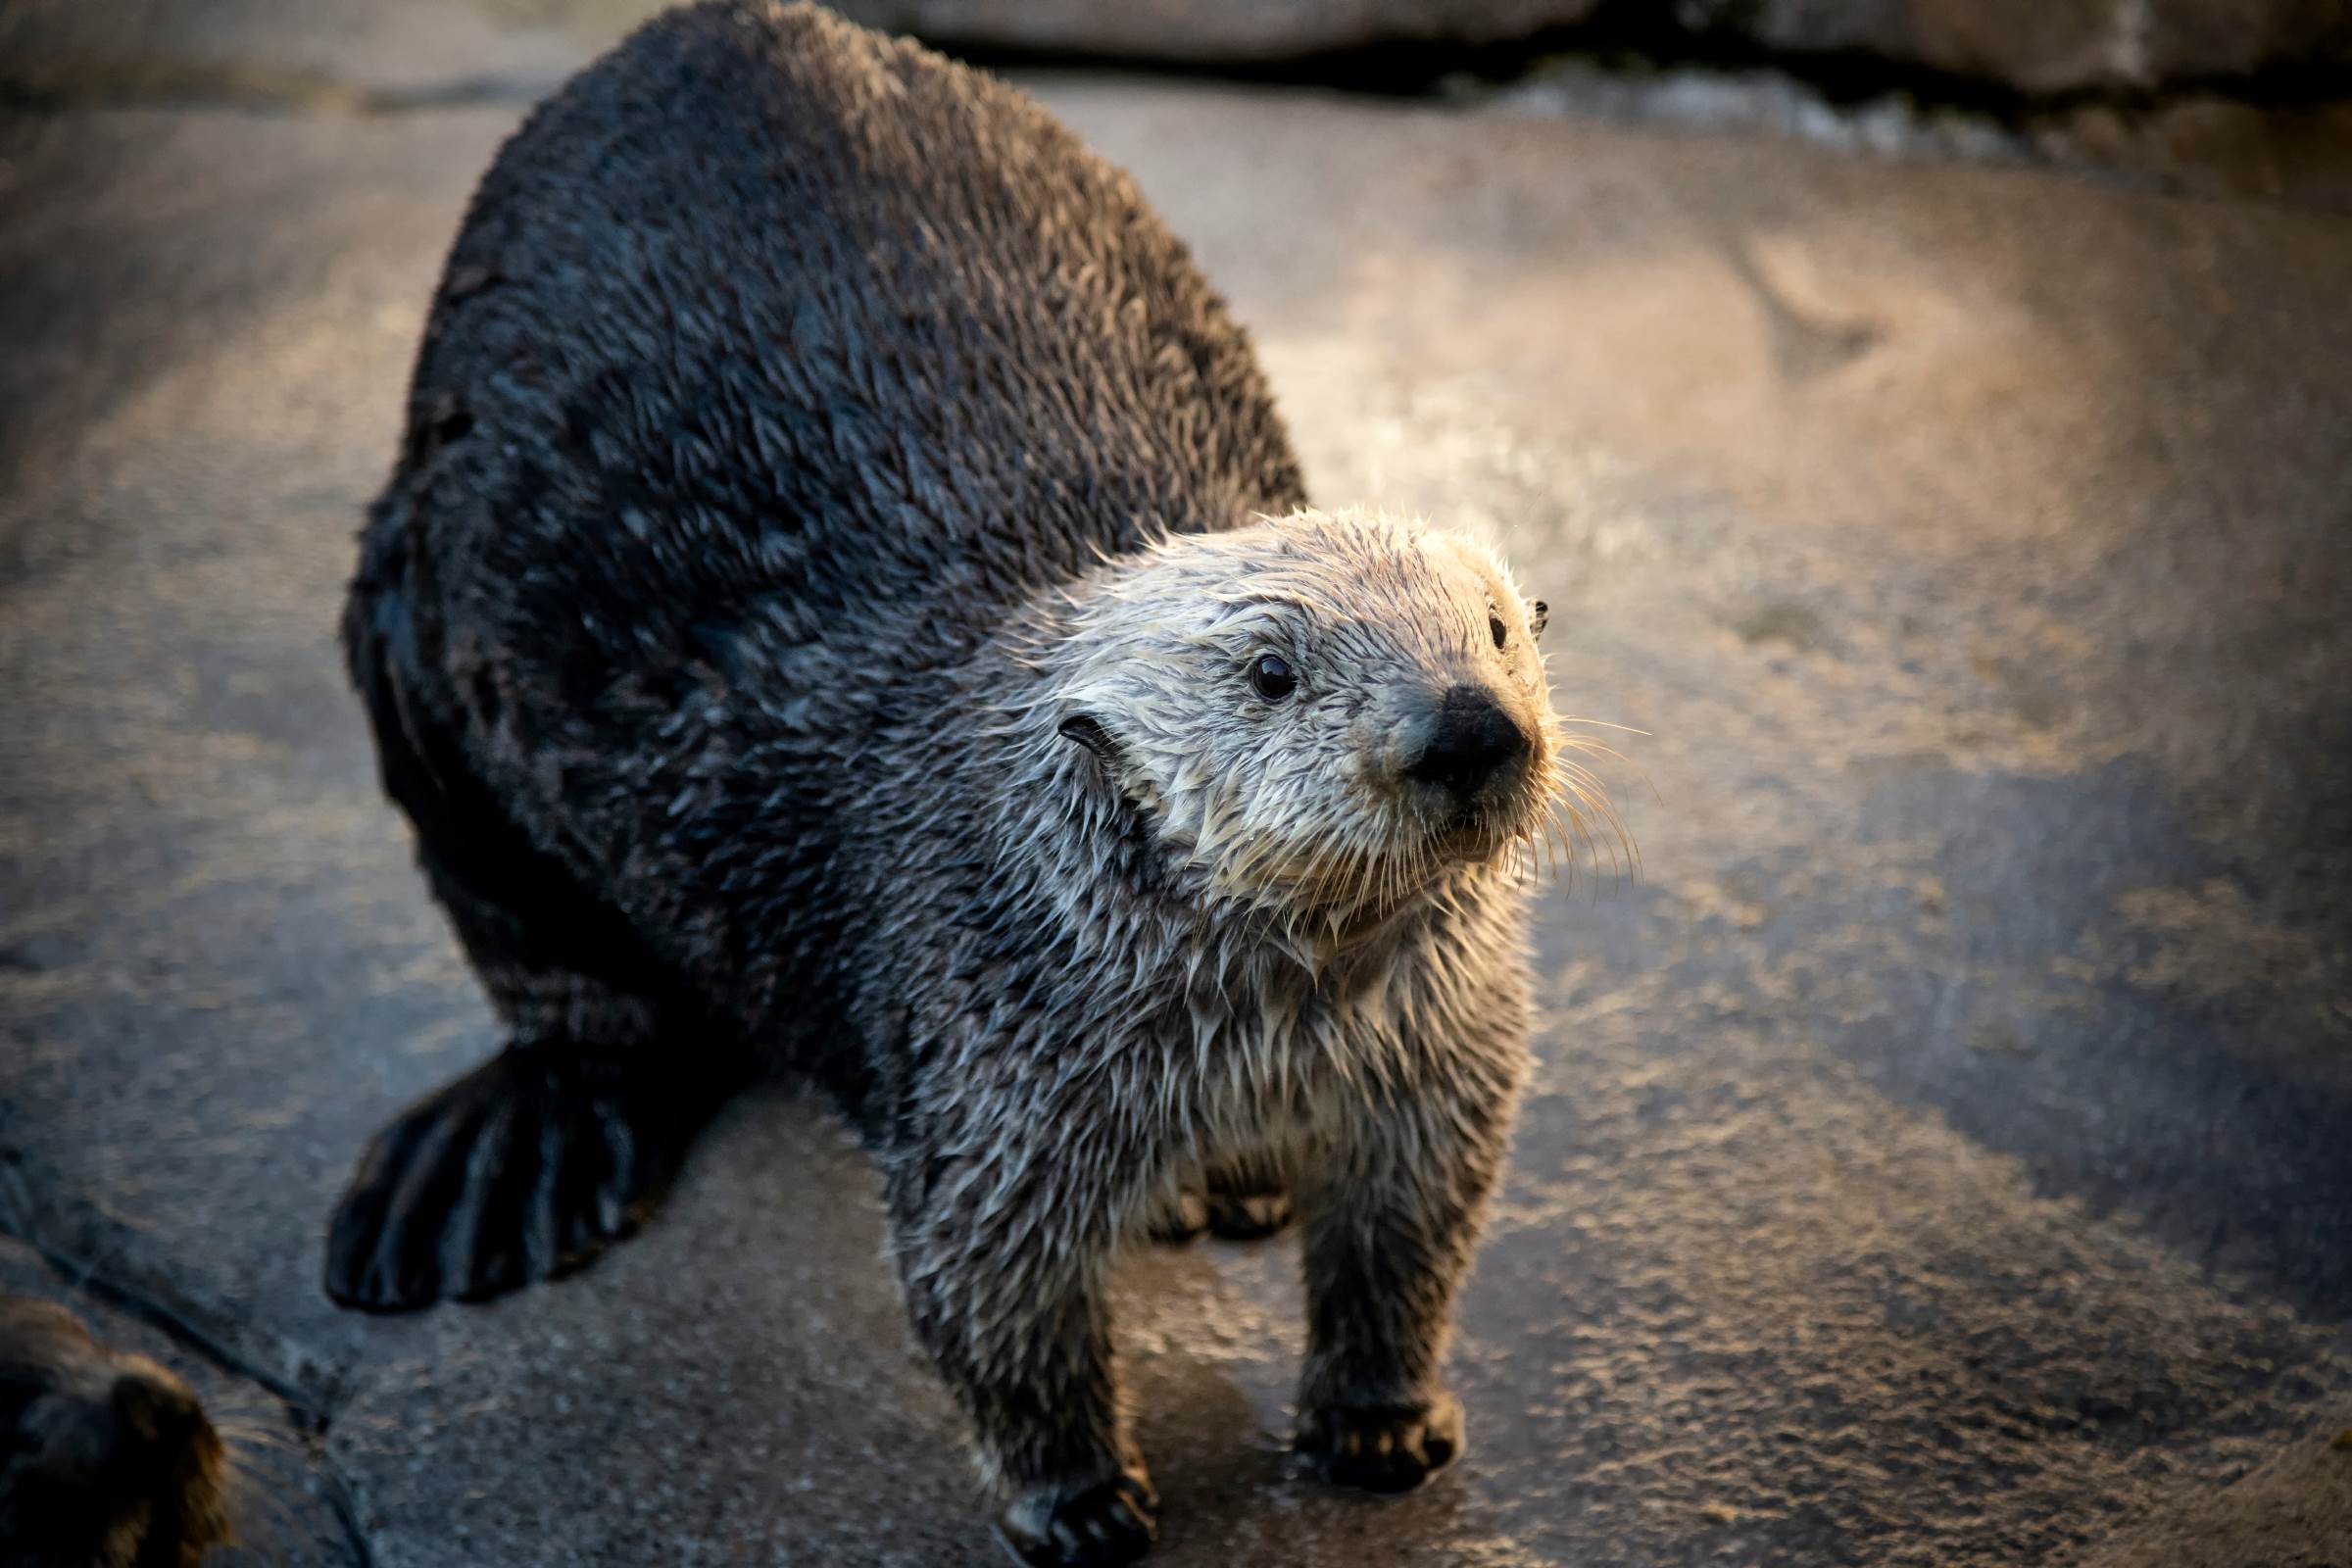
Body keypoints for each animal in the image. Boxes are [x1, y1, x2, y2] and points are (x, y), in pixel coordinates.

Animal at [324, 4, 1578, 1562]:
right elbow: (989, 1298)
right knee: (561, 984)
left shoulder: (1438, 1059)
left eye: (1494, 626)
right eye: (1271, 670)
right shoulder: (985, 1076)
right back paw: (505, 1165)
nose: (1468, 727)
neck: (1279, 1031)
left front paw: (1382, 1418)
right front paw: (1081, 1500)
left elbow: (1411, 1234)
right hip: (411, 634)